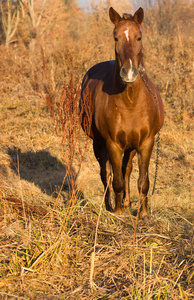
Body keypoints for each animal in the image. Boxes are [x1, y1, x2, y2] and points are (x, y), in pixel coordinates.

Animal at [80, 5, 164, 219]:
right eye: (116, 37)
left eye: (139, 37)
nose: (129, 73)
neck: (131, 102)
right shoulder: (112, 144)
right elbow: (115, 179)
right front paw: (118, 213)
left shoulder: (146, 143)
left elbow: (143, 181)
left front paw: (143, 214)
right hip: (99, 144)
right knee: (106, 174)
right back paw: (110, 205)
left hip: (131, 146)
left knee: (127, 169)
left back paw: (127, 202)